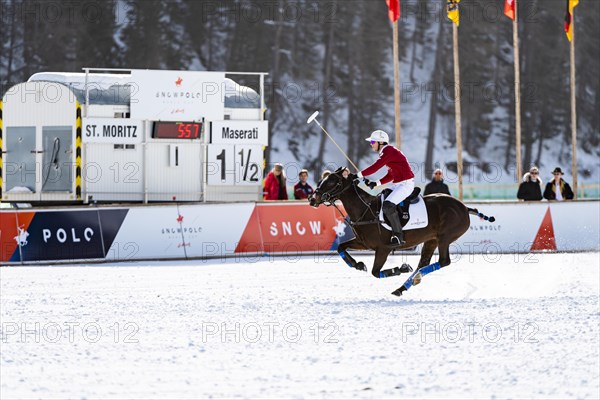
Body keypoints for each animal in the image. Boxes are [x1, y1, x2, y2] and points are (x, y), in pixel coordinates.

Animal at [308, 167, 494, 296]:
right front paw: (358, 264)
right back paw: (403, 287)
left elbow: (375, 272)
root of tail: (464, 207)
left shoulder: (383, 248)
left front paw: (401, 268)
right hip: (431, 239)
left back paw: (412, 278)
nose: (312, 199)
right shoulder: (363, 242)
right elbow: (341, 247)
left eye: (332, 181)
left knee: (444, 261)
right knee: (423, 263)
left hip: (445, 238)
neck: (366, 209)